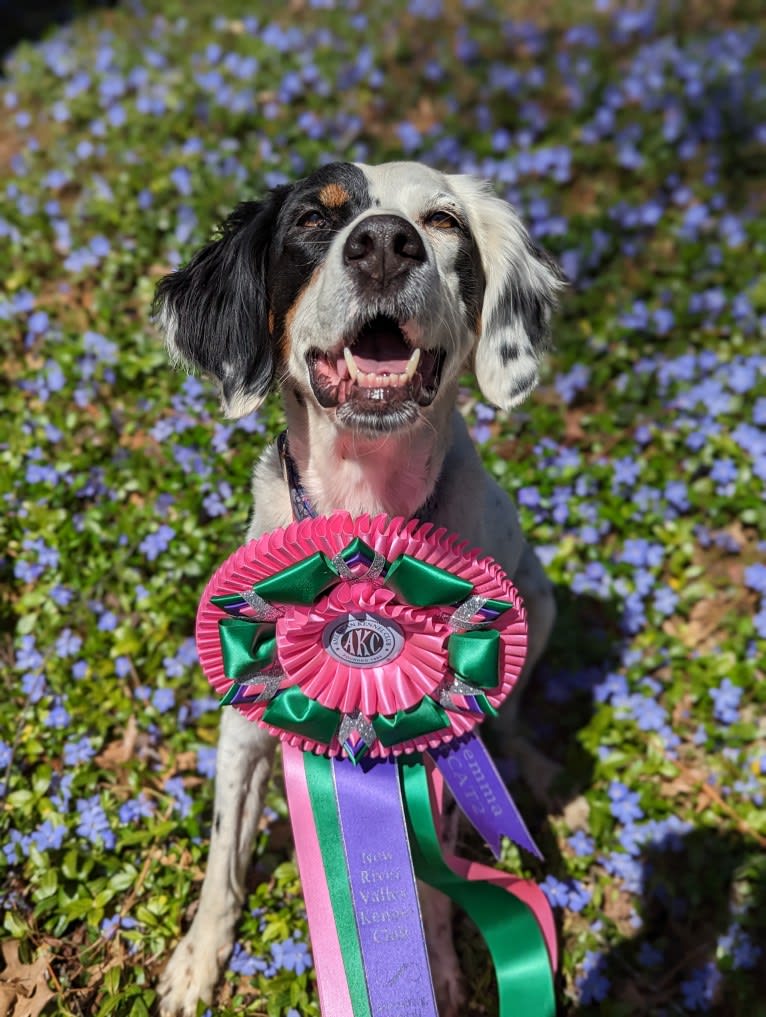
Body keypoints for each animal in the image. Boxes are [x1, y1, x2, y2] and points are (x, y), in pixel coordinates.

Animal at [155, 160, 561, 1016]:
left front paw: (436, 963)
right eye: (314, 218)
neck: (364, 511)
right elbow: (222, 857)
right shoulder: (244, 717)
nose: (382, 243)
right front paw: (198, 959)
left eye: (442, 220)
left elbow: (434, 874)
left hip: (536, 606)